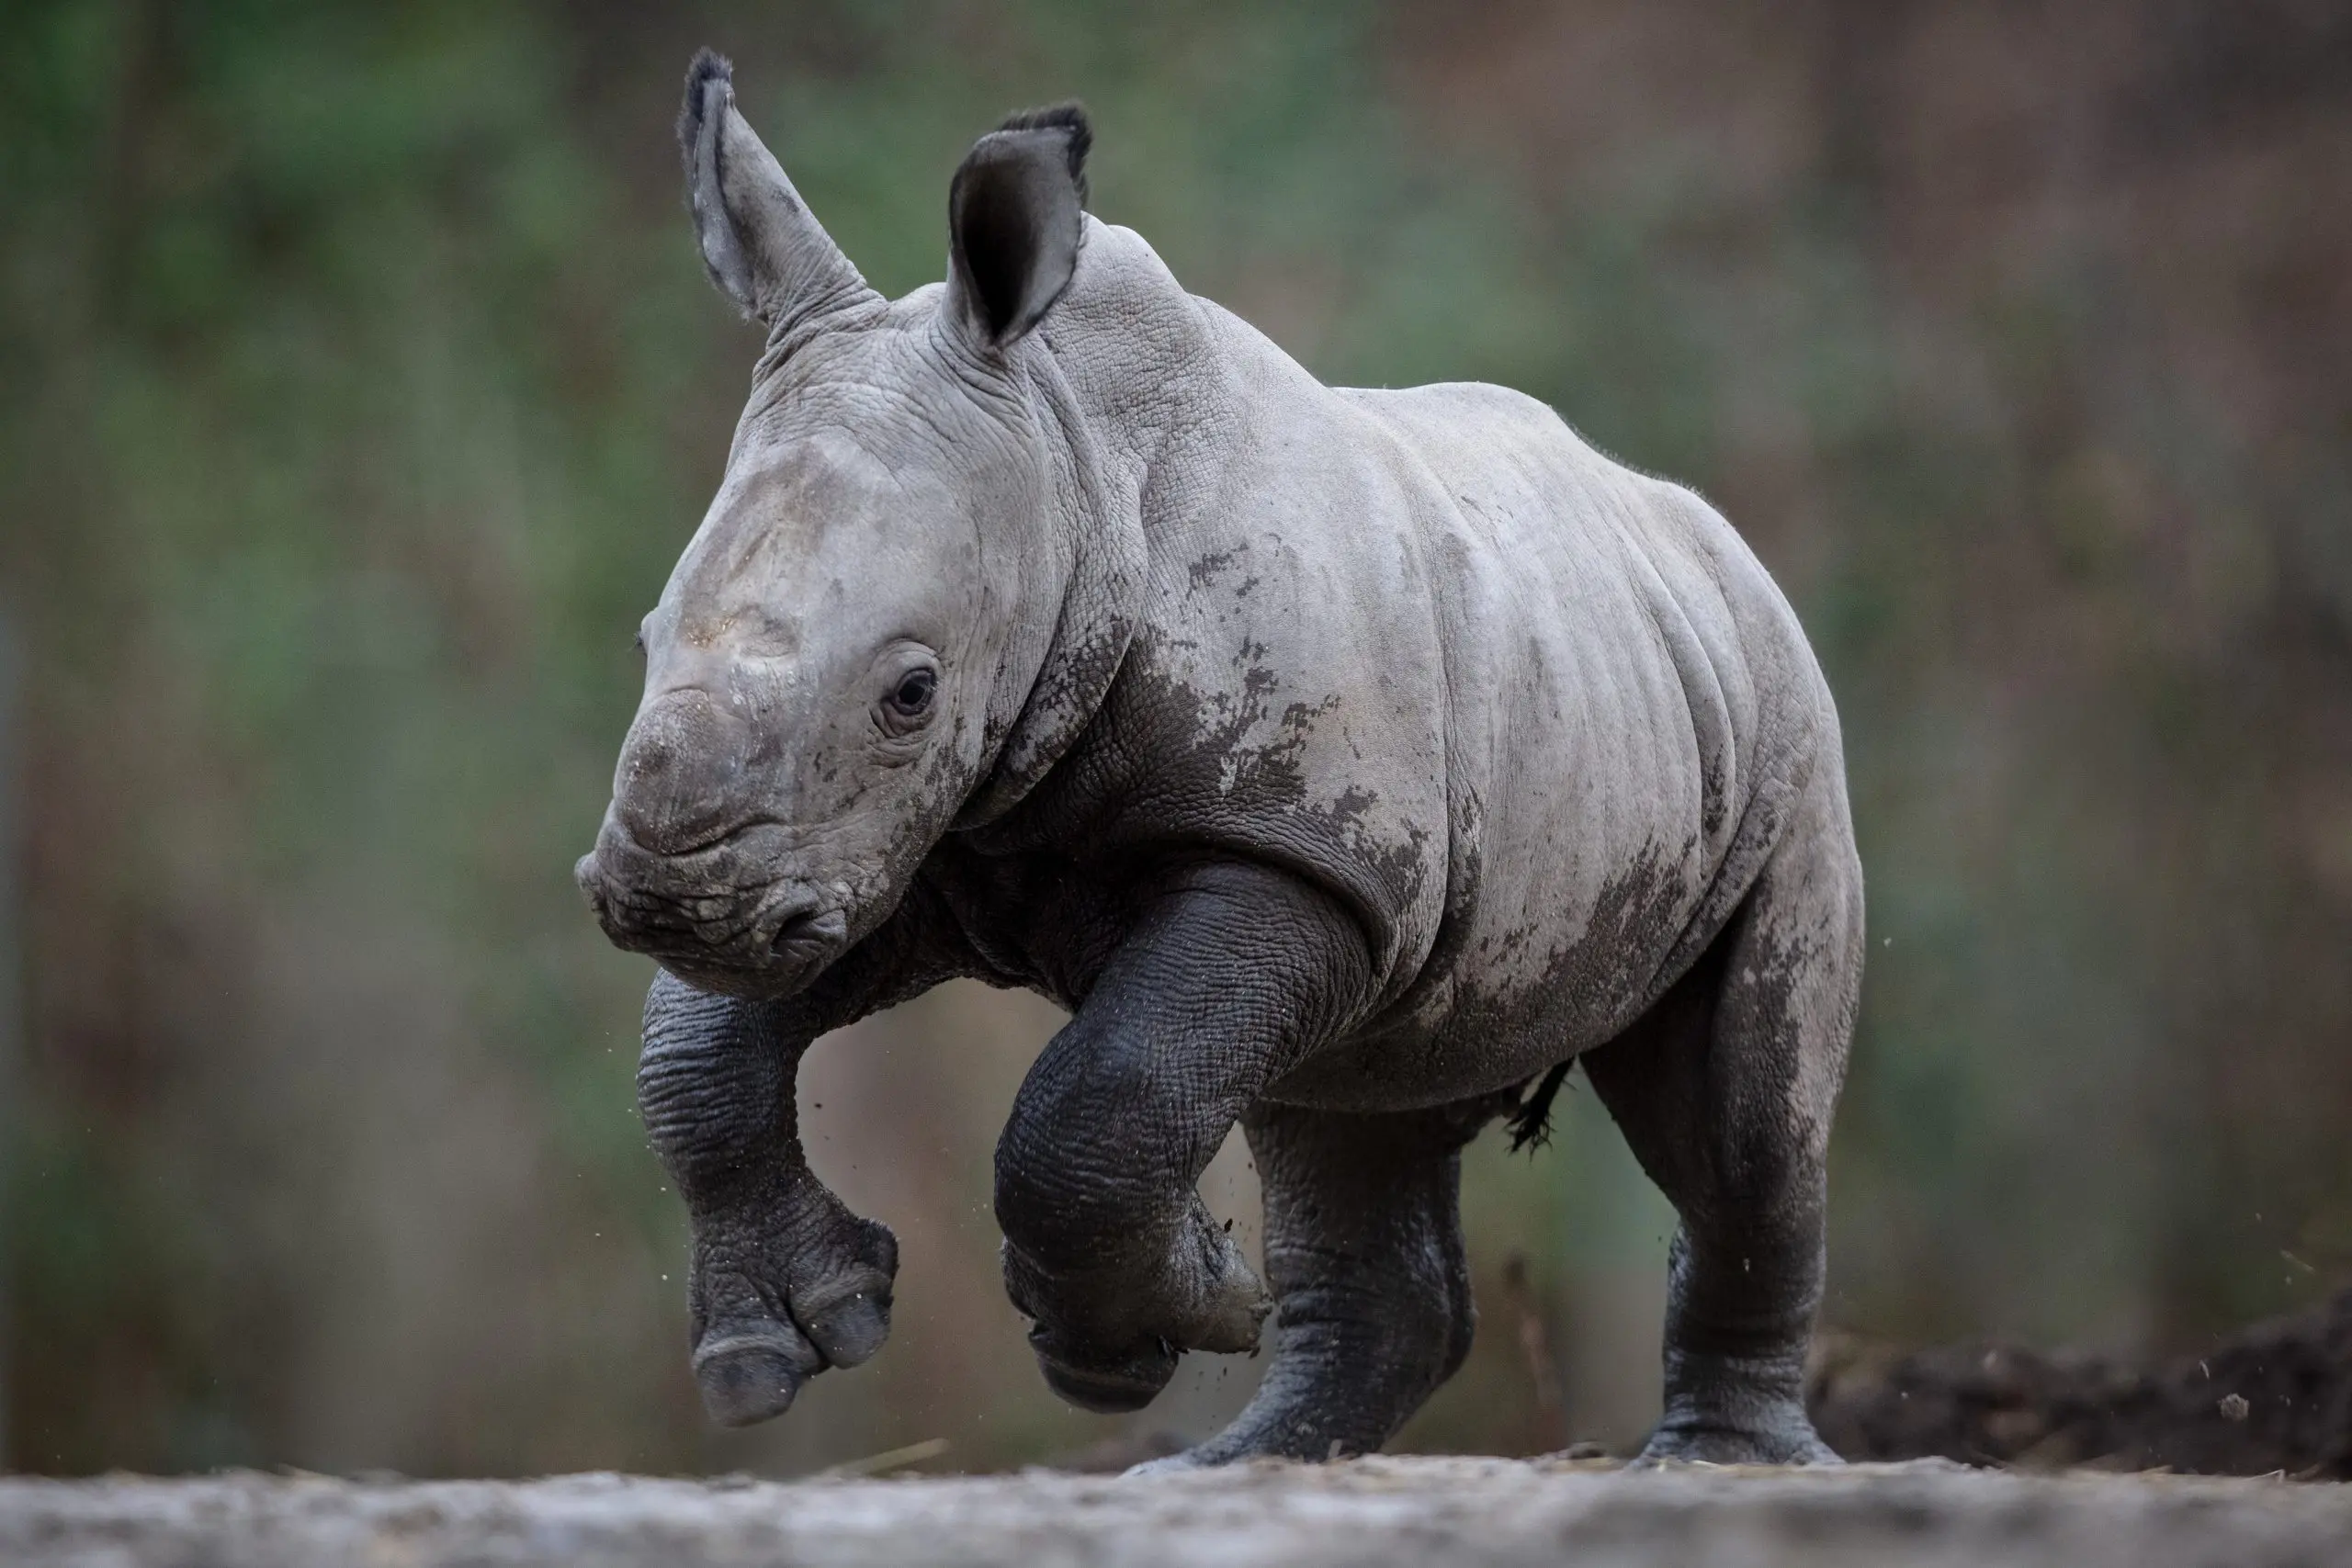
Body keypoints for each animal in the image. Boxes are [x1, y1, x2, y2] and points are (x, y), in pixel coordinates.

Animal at [574, 49, 1863, 1468]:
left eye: (910, 693)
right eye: (643, 639)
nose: (669, 903)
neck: (1071, 464)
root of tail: (1706, 532)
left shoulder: (1296, 848)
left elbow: (1106, 1093)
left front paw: (1119, 1342)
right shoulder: (905, 841)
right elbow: (692, 1049)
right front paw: (787, 1347)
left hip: (1783, 728)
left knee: (1740, 1121)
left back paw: (1714, 1457)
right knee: (1349, 1097)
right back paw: (1250, 1460)